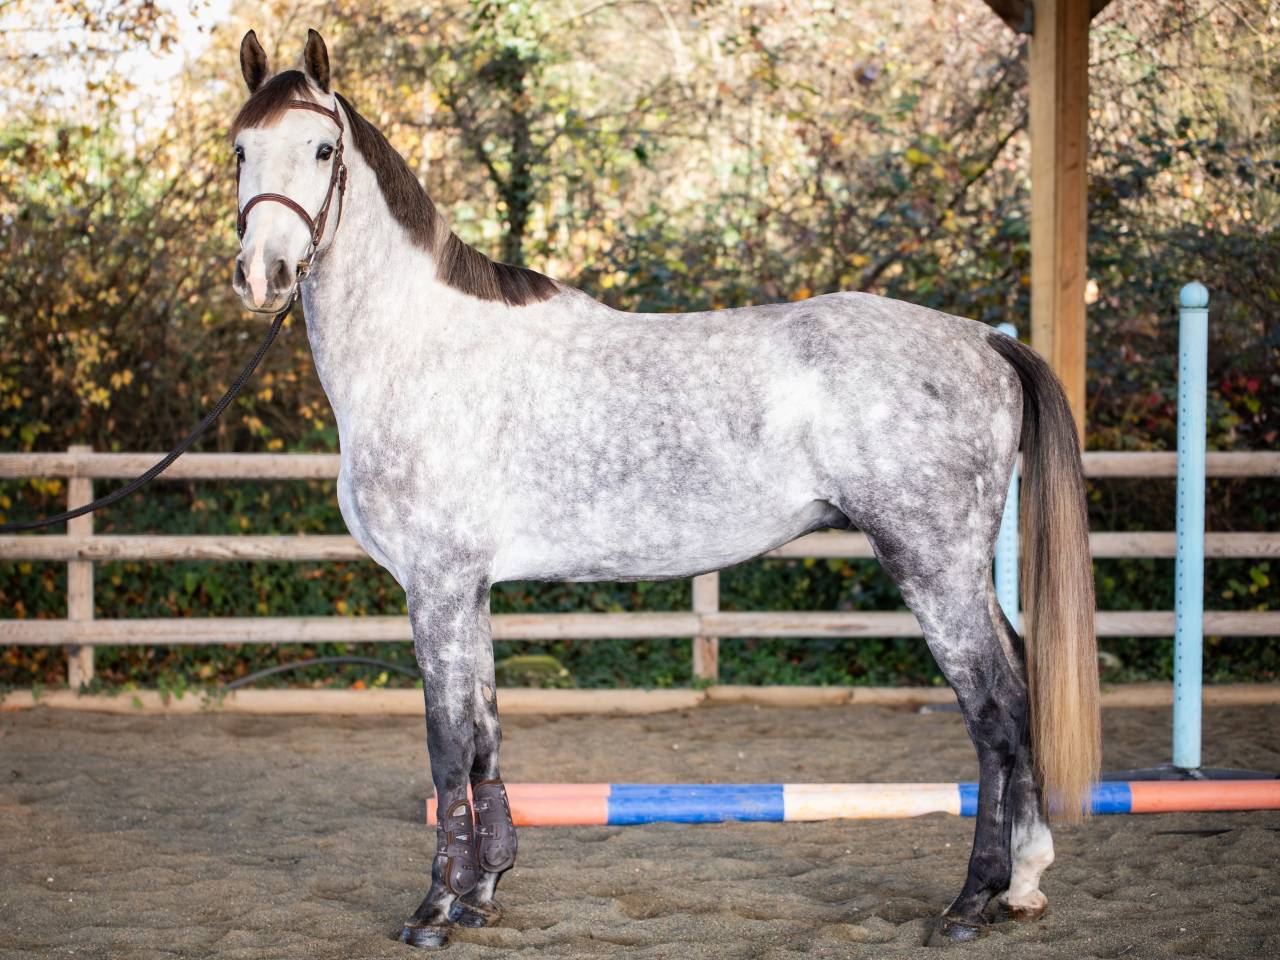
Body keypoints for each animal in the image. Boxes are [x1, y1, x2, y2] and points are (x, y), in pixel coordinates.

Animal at [230, 29, 1100, 949]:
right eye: (240, 148)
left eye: (323, 150)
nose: (263, 274)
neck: (422, 347)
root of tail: (984, 340)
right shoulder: (470, 591)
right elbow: (485, 736)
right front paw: (484, 890)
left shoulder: (434, 586)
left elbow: (445, 744)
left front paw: (435, 910)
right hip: (962, 570)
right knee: (1022, 689)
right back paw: (1024, 883)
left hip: (932, 567)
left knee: (996, 713)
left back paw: (971, 901)